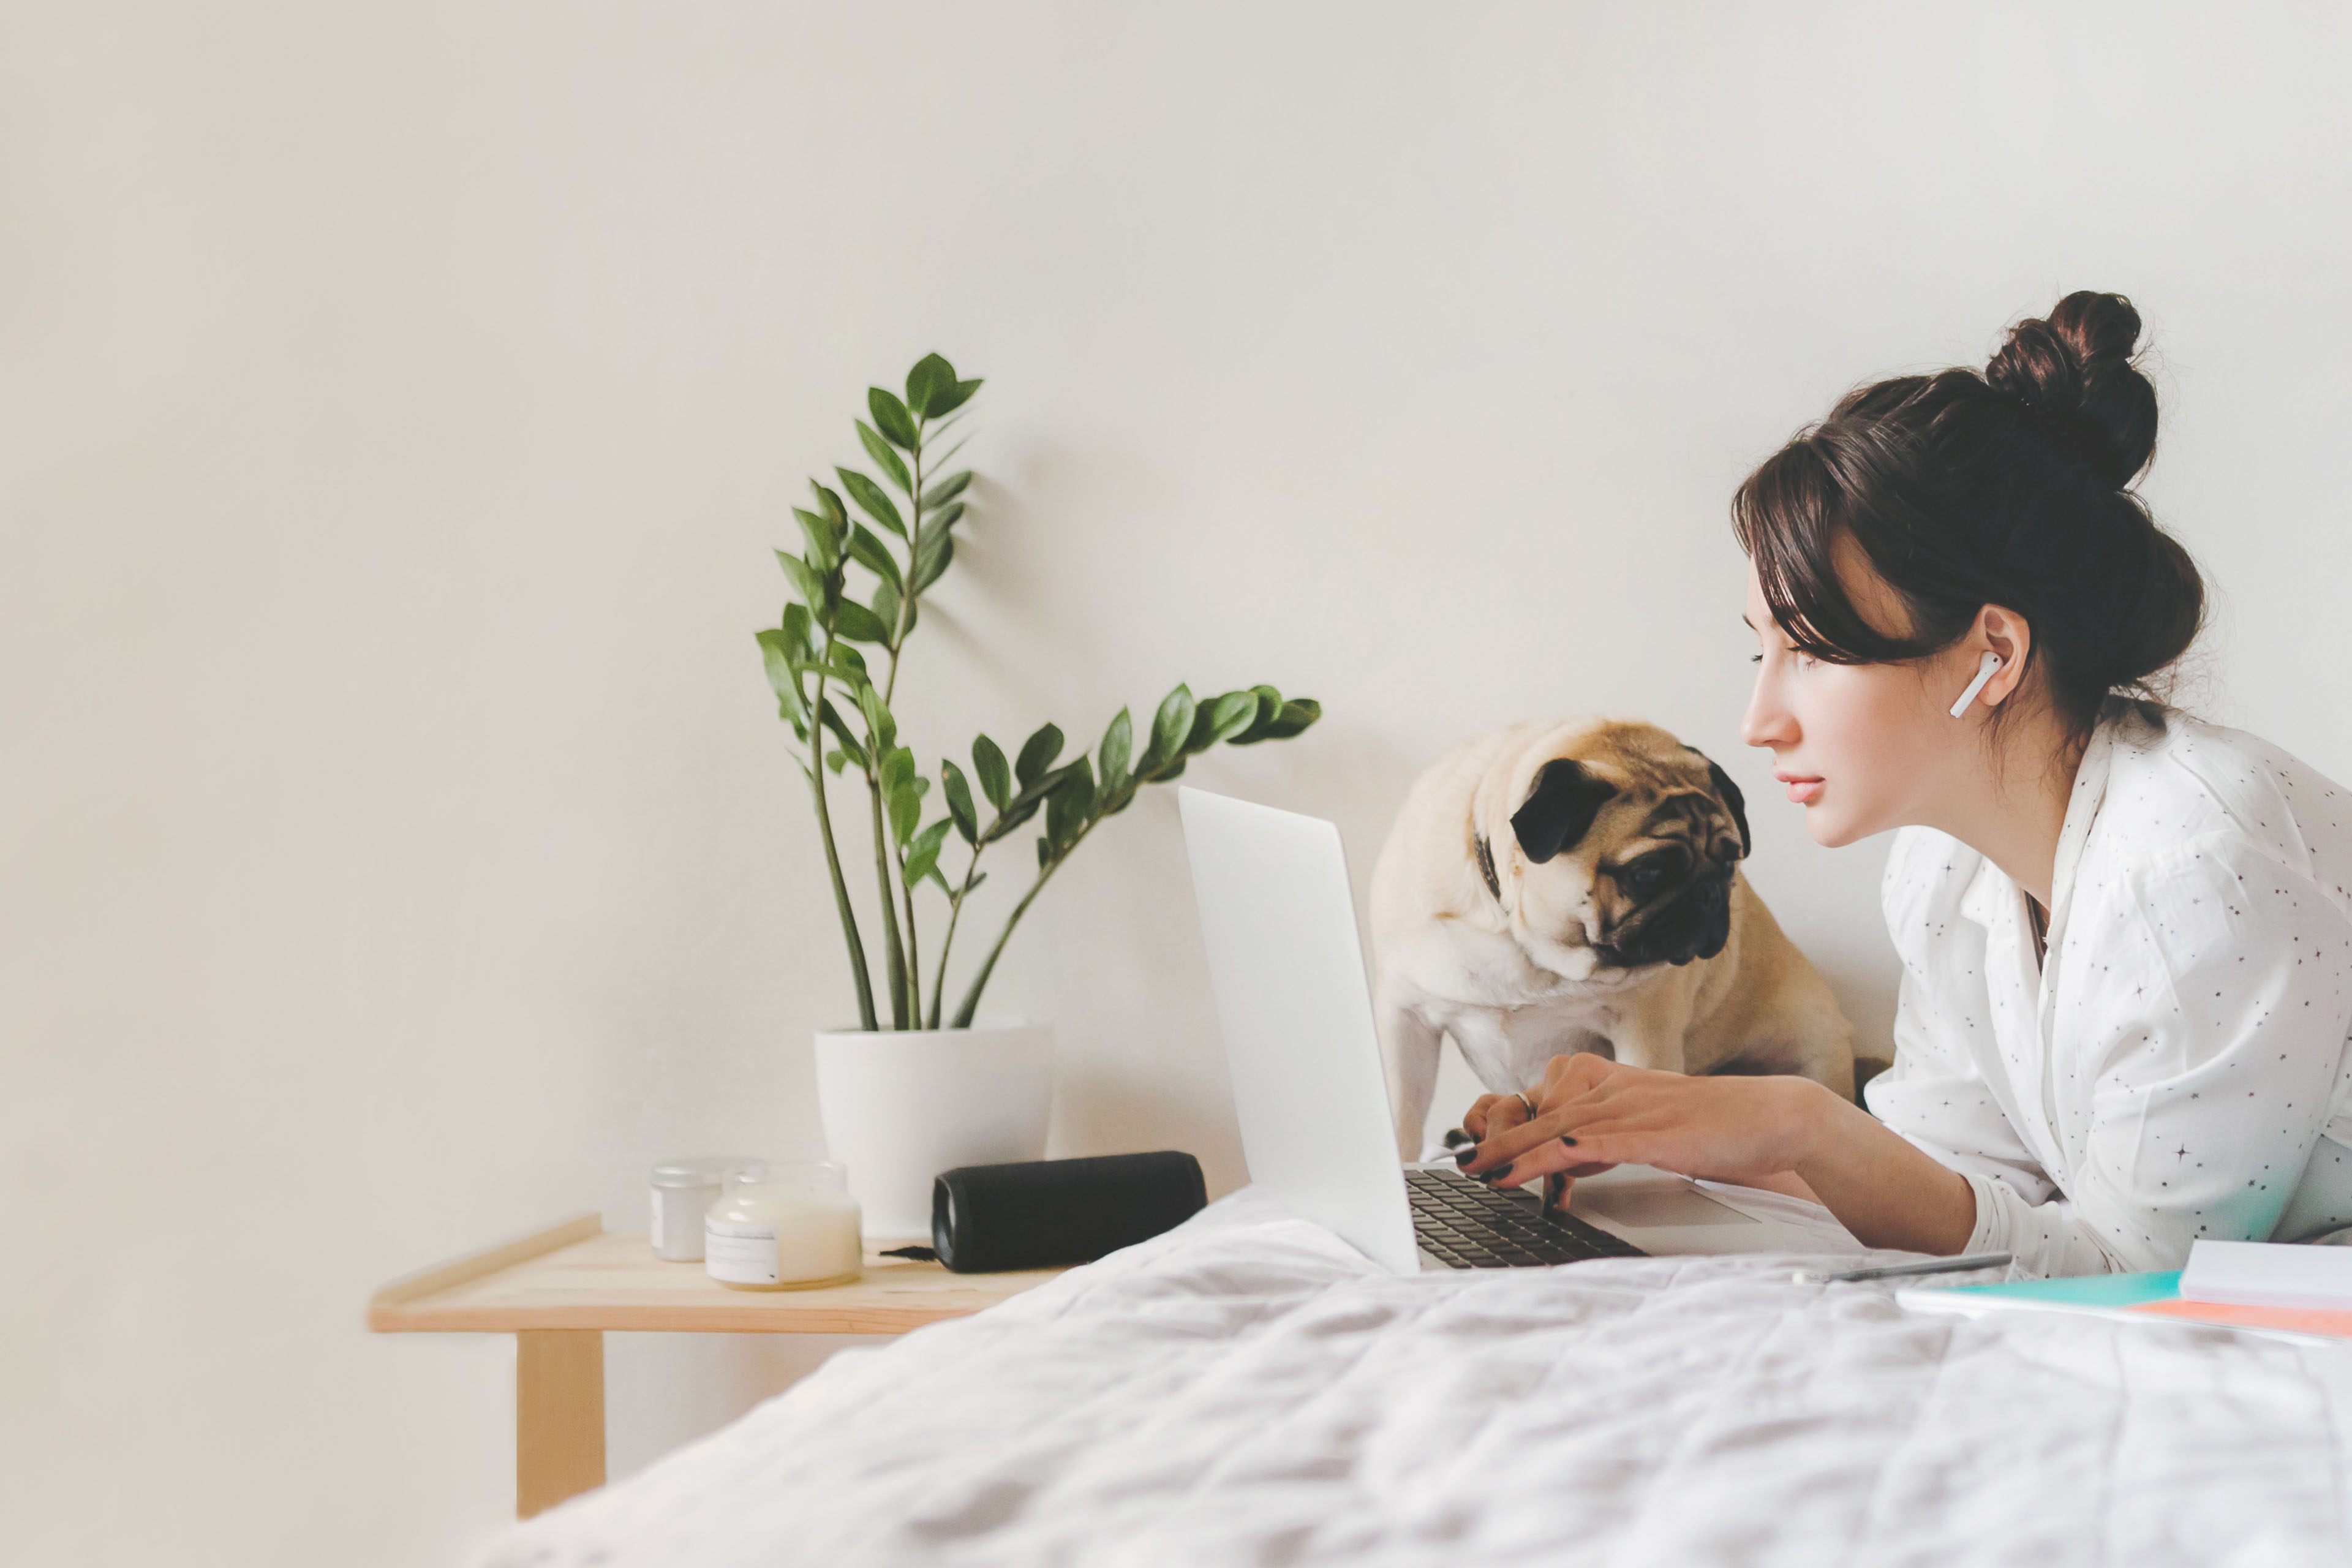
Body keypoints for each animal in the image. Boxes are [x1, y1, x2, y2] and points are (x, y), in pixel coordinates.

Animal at [1373, 719, 1853, 1161]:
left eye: (1731, 863)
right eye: (1649, 872)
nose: (1710, 893)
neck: (1531, 951)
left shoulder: (1644, 1037)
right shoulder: (1405, 1020)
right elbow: (1400, 1115)